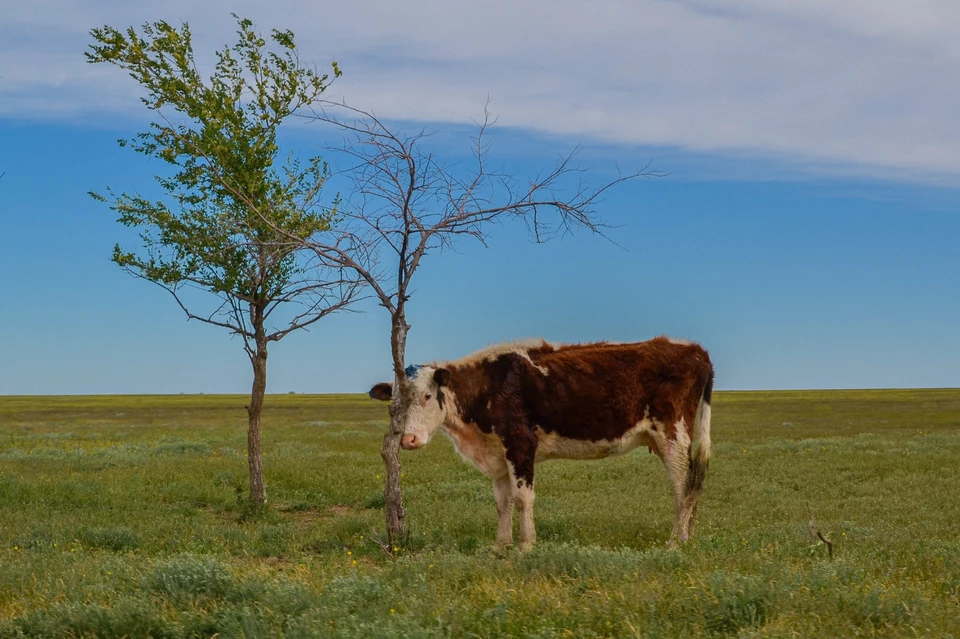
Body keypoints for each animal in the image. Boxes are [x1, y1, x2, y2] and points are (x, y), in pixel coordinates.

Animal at [368, 338, 712, 552]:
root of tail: (693, 349)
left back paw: (675, 542)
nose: (408, 439)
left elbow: (523, 499)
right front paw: (500, 547)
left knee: (684, 488)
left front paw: (525, 545)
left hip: (673, 435)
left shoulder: (520, 444)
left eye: (428, 396)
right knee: (692, 486)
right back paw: (688, 537)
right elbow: (502, 502)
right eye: (395, 402)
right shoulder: (498, 455)